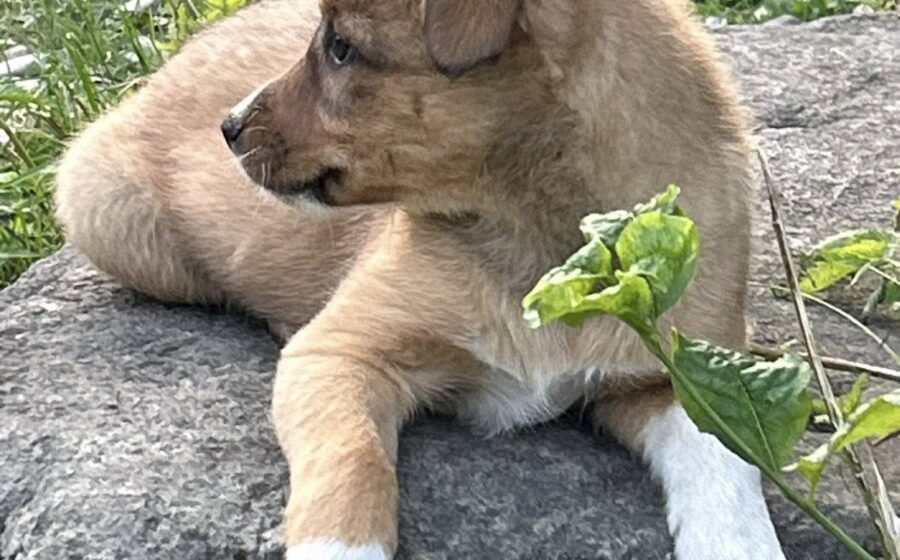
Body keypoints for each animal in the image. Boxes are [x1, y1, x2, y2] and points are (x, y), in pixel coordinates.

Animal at [55, 0, 786, 558]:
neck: (540, 242)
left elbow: (723, 460)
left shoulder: (674, 373)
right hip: (116, 223)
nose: (228, 127)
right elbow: (351, 460)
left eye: (341, 47)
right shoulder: (340, 352)